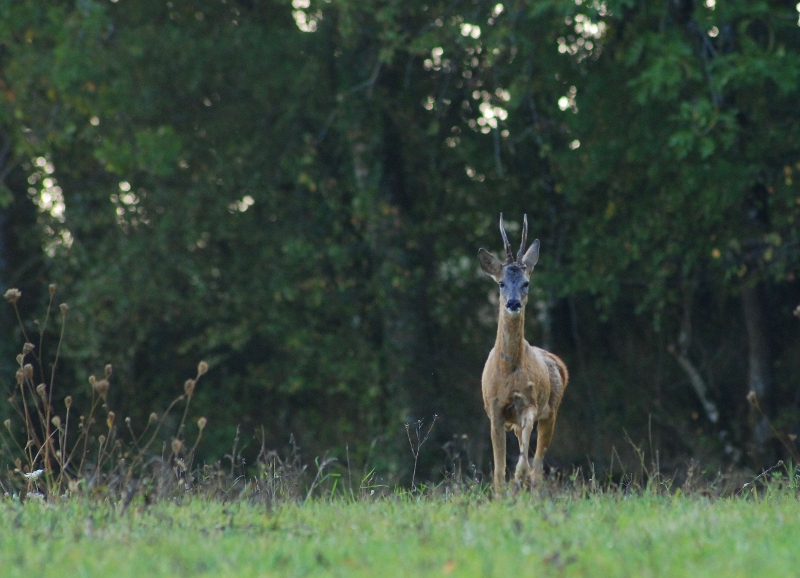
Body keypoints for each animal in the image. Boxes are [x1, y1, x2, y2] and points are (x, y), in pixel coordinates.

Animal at [476, 214, 568, 492]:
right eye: (501, 283)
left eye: (526, 282)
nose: (513, 303)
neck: (508, 371)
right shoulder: (494, 410)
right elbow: (498, 469)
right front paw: (500, 495)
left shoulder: (529, 404)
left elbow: (524, 462)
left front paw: (519, 478)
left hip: (551, 411)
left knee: (537, 464)